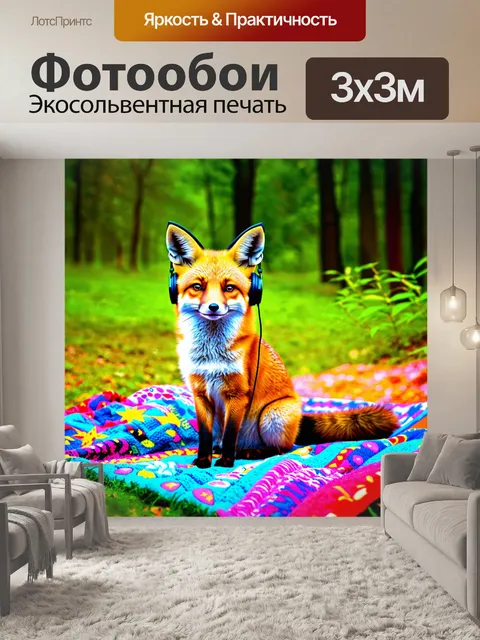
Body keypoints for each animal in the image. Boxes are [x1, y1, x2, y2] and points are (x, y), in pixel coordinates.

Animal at [166, 221, 398, 468]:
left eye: (229, 288)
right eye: (198, 287)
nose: (213, 307)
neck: (210, 354)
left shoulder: (237, 394)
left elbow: (230, 434)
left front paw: (227, 461)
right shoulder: (199, 393)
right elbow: (205, 436)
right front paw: (203, 460)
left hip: (271, 416)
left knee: (282, 449)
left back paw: (252, 452)